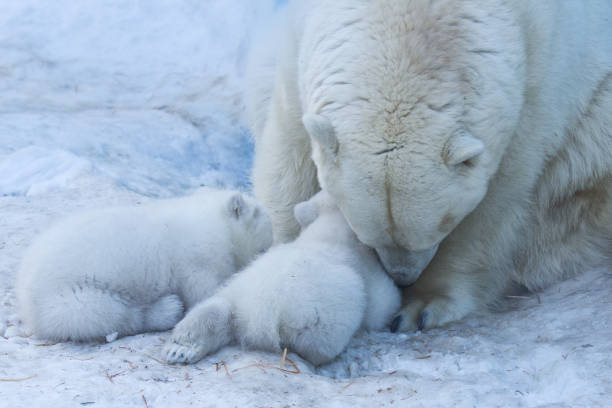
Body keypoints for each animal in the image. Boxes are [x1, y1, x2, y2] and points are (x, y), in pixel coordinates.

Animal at [249, 0, 612, 332]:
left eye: (439, 228)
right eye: (367, 235)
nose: (403, 277)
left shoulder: (541, 74)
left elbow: (497, 202)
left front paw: (420, 306)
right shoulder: (303, 38)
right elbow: (289, 148)